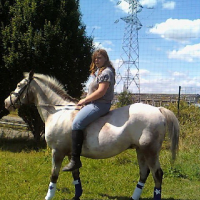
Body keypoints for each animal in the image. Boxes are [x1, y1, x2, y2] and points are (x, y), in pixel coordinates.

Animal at [4, 71, 180, 200]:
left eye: (19, 85)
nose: (6, 103)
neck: (58, 111)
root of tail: (158, 109)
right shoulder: (71, 154)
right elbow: (75, 173)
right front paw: (77, 196)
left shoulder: (58, 151)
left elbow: (54, 175)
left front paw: (48, 197)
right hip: (140, 150)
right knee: (144, 173)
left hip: (150, 151)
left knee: (157, 175)